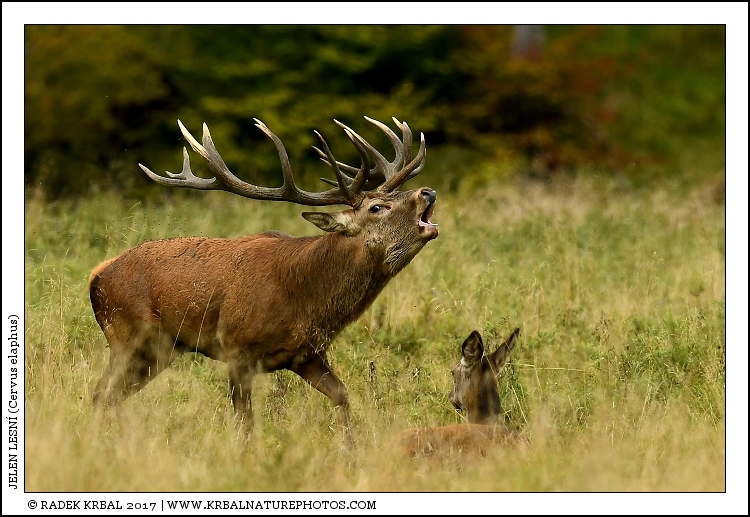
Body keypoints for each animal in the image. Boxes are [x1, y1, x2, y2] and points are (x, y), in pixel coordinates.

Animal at [89, 115, 439, 444]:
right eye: (377, 207)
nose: (428, 191)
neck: (304, 298)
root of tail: (97, 275)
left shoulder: (308, 354)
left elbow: (342, 395)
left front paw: (349, 451)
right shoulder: (235, 347)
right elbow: (244, 422)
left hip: (161, 349)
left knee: (112, 396)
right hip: (126, 334)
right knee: (101, 393)